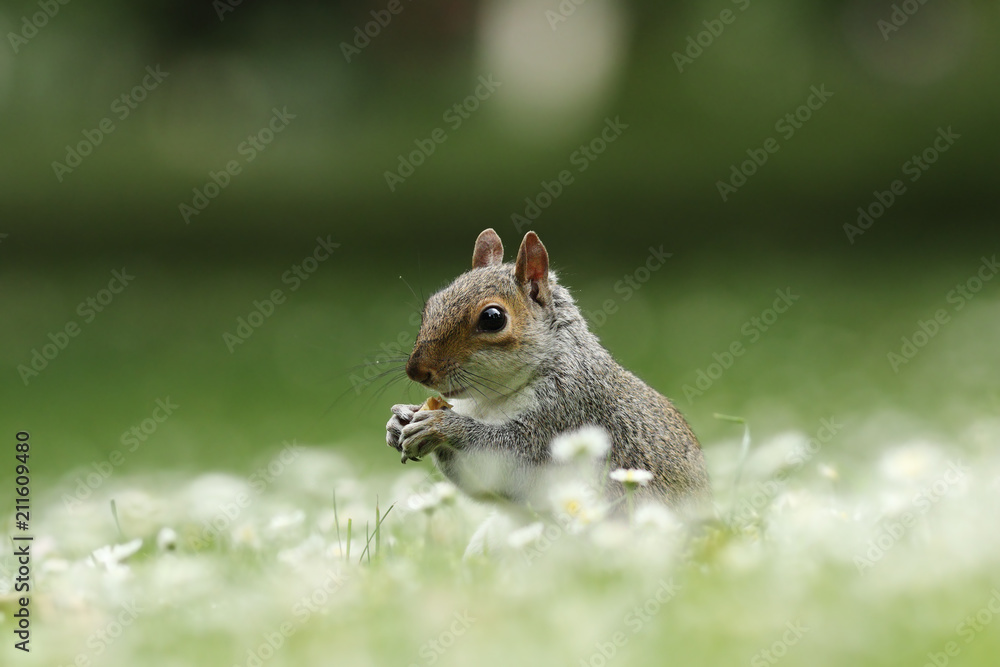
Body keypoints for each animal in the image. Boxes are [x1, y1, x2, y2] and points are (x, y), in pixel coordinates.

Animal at [385, 229, 710, 511]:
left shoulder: (565, 413)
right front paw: (399, 420)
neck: (490, 401)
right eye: (431, 305)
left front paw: (441, 426)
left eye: (493, 318)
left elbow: (510, 450)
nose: (417, 371)